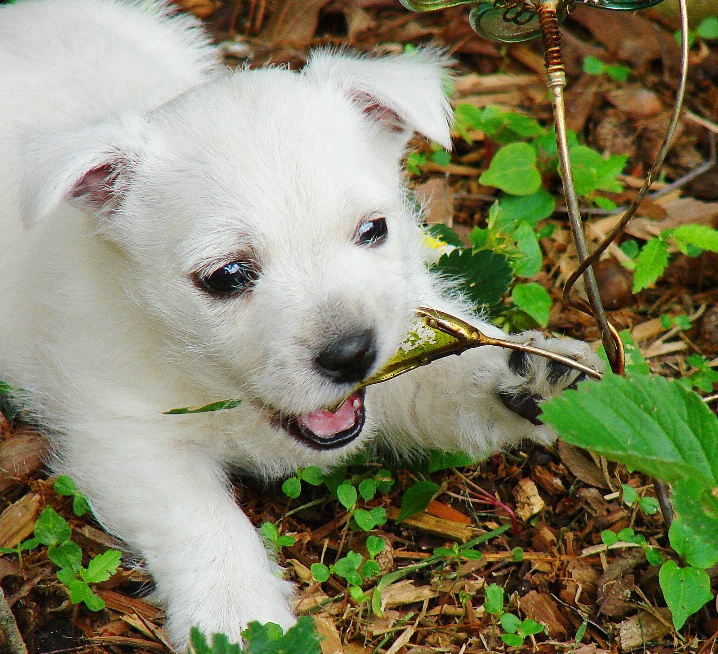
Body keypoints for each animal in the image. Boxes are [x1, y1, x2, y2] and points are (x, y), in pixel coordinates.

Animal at [1, 0, 600, 644]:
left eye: (374, 230)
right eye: (227, 276)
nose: (352, 355)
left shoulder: (399, 356)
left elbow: (439, 380)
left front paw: (525, 377)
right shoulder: (122, 439)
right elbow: (204, 519)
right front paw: (237, 618)